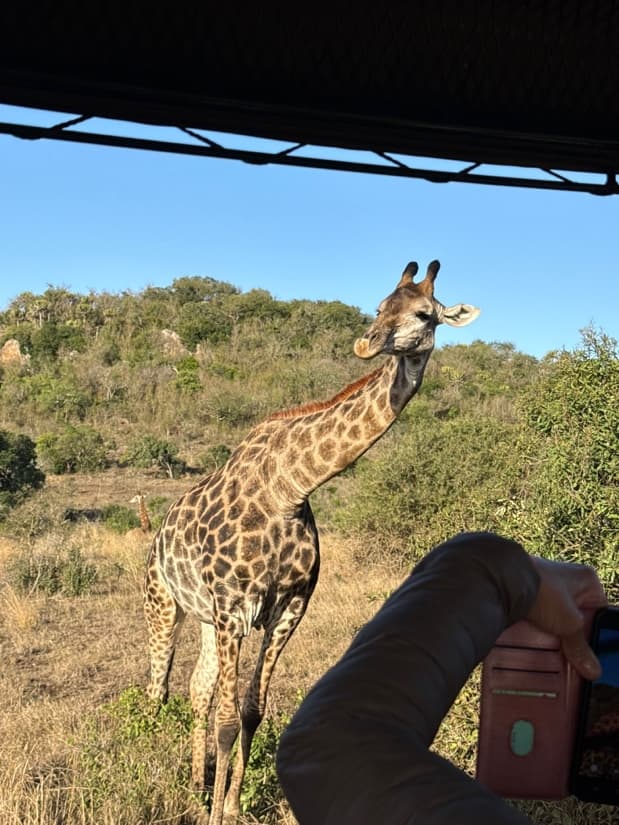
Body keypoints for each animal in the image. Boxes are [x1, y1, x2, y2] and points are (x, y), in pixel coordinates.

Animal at [143, 259, 480, 824]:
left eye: (424, 314)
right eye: (379, 305)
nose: (368, 343)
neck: (289, 487)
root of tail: (158, 532)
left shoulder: (288, 607)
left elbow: (250, 711)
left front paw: (230, 805)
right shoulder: (235, 610)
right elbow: (229, 720)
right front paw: (218, 815)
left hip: (207, 619)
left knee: (198, 690)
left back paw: (194, 784)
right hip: (163, 603)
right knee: (156, 689)